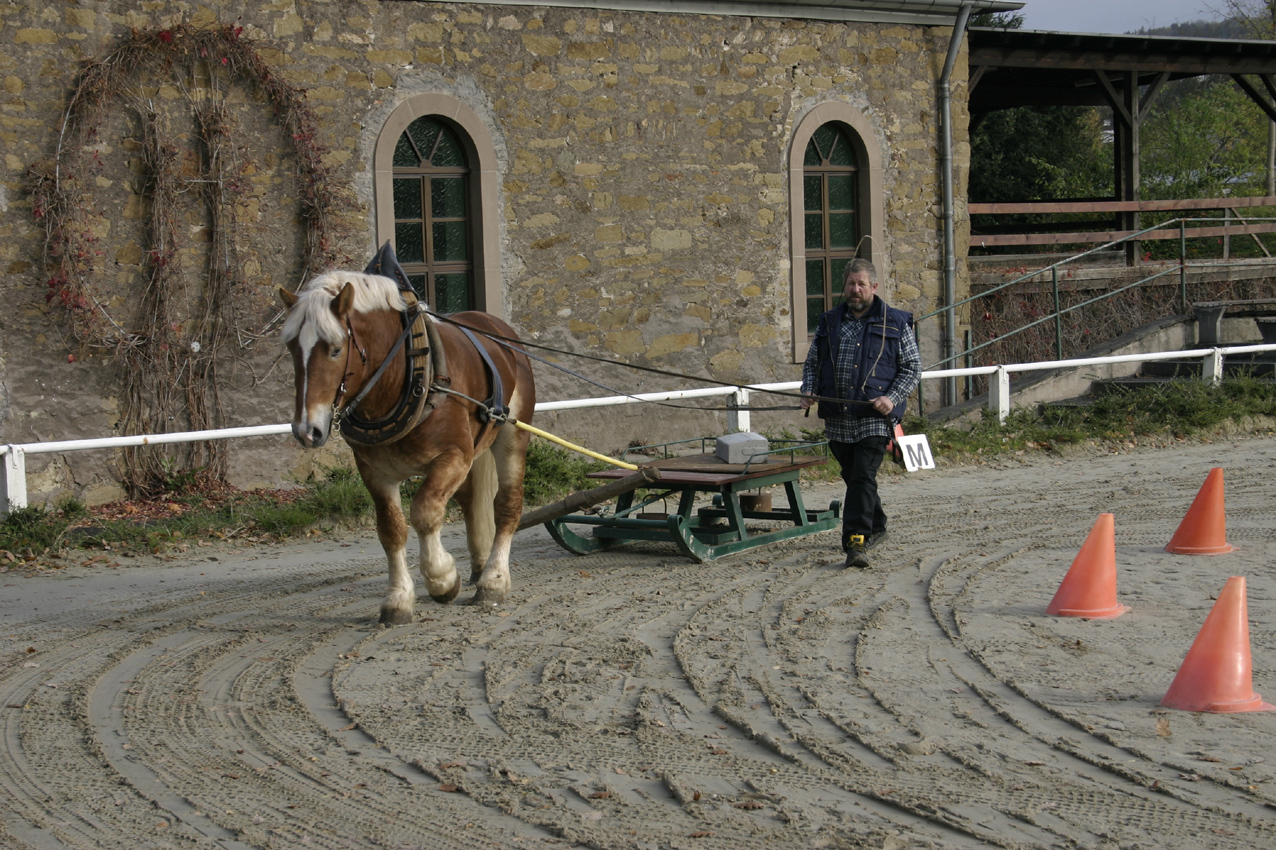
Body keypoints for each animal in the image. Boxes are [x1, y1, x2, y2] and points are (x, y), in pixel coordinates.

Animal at [279, 245, 533, 622]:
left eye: (336, 348)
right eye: (293, 349)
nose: (306, 430)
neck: (403, 376)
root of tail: (496, 326)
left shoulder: (453, 457)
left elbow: (425, 512)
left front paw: (442, 579)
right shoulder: (375, 473)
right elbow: (392, 530)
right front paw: (398, 598)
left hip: (511, 438)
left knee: (506, 505)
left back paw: (493, 579)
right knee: (472, 502)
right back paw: (478, 567)